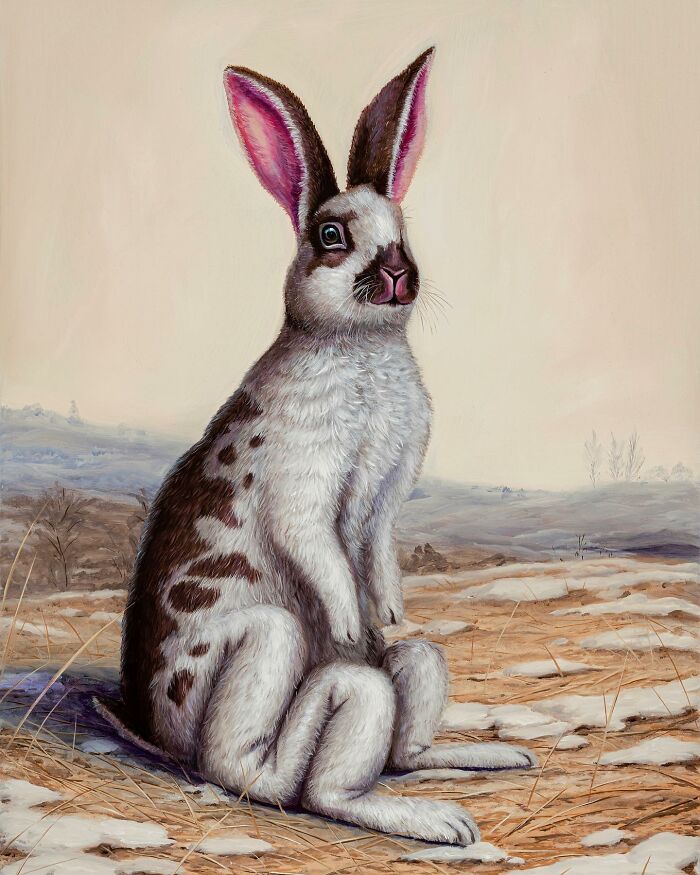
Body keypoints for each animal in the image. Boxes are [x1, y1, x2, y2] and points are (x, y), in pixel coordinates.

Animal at [121, 47, 536, 846]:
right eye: (331, 237)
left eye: (403, 227)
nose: (399, 271)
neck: (359, 348)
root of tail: (154, 731)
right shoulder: (302, 484)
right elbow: (313, 542)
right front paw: (347, 622)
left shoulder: (383, 505)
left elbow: (375, 553)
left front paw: (386, 611)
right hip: (266, 651)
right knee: (292, 779)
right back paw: (436, 820)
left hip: (419, 668)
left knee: (406, 729)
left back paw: (491, 753)